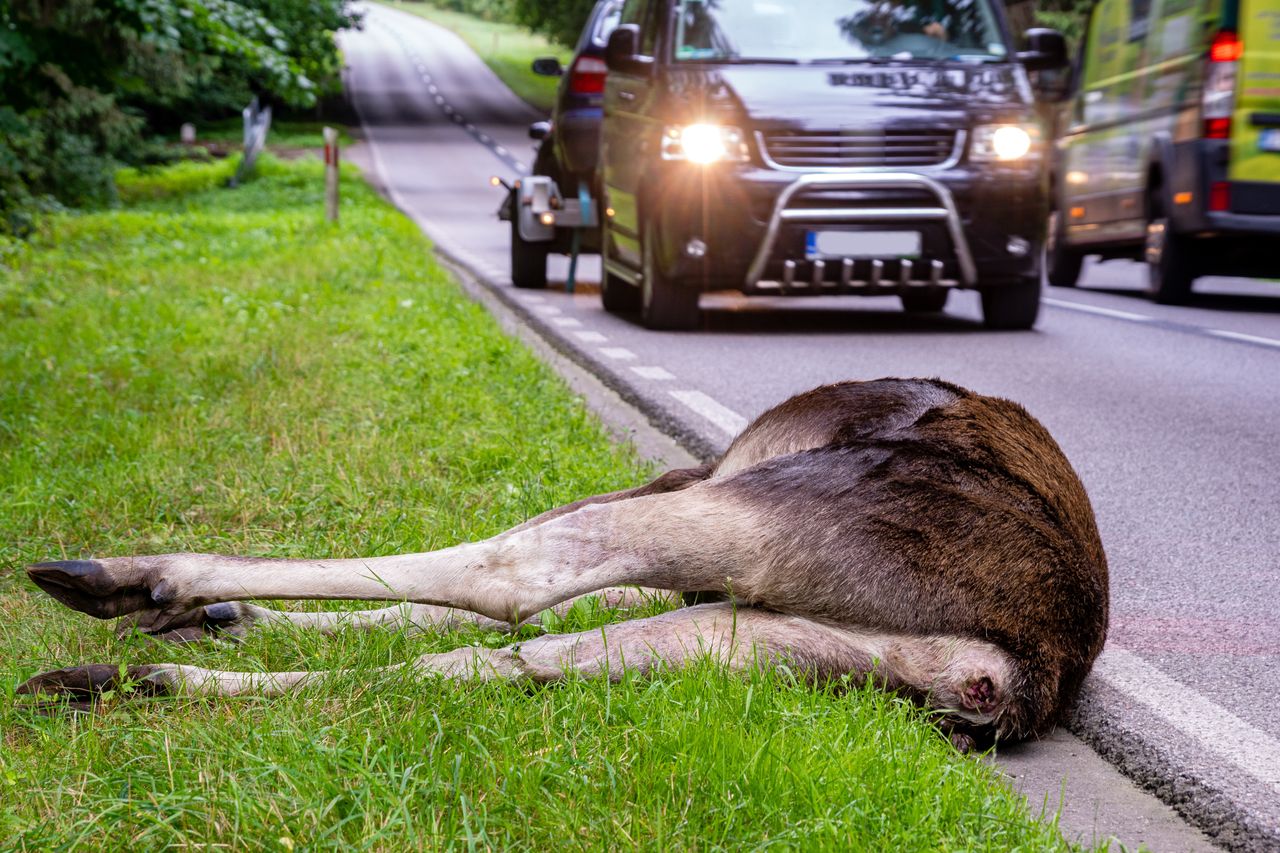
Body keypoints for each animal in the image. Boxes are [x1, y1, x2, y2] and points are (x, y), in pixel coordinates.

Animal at [20, 376, 1105, 742]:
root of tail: (1028, 668)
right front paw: (229, 626)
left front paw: (201, 603)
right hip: (778, 638)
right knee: (503, 657)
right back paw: (141, 676)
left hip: (761, 509)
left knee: (509, 576)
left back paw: (133, 583)